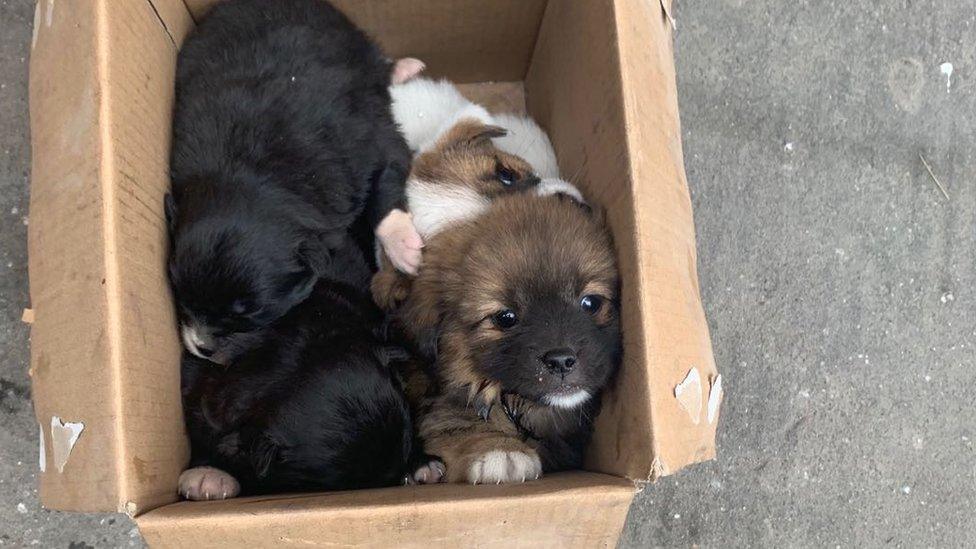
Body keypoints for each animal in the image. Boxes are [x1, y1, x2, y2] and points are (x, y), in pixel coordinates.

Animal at [165, 0, 424, 364]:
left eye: (250, 312)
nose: (201, 348)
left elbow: (385, 195)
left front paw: (405, 250)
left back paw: (404, 68)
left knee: (376, 62)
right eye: (179, 293)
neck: (260, 174)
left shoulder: (374, 142)